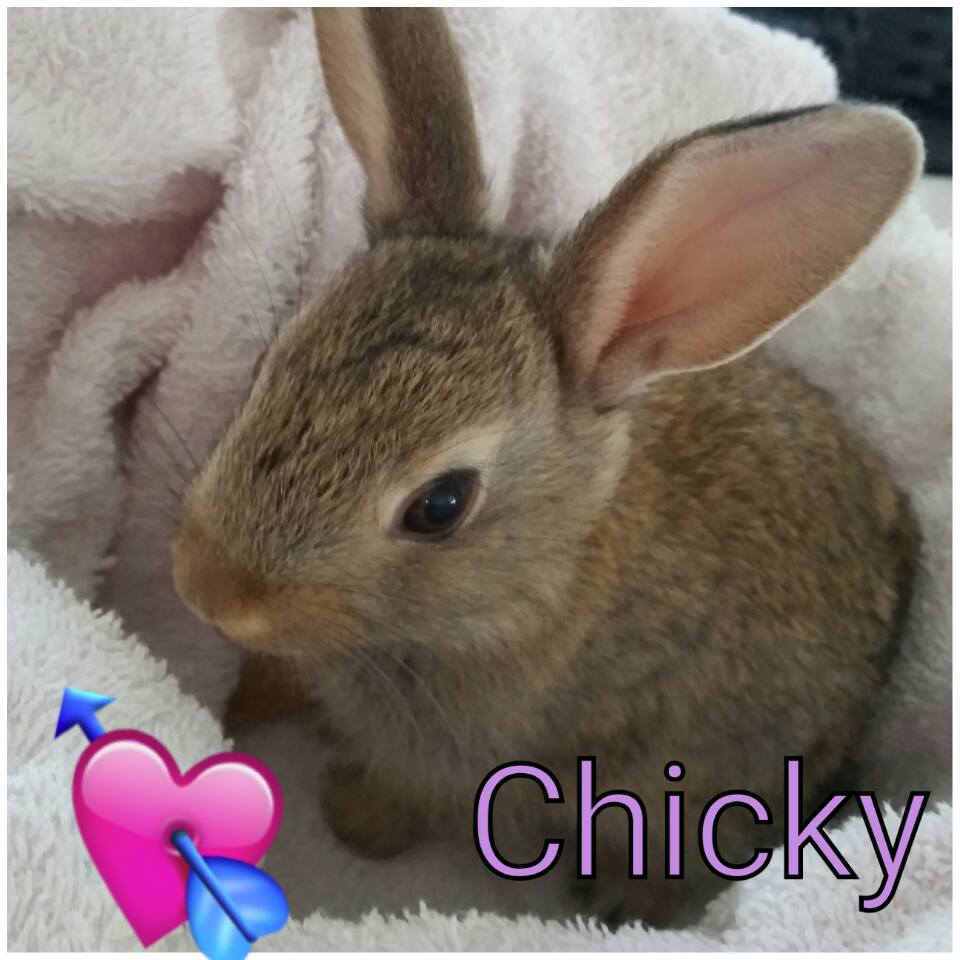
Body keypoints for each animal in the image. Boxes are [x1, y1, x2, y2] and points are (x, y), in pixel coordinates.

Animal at [171, 8, 922, 928]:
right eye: (273, 360)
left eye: (441, 505)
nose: (207, 587)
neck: (545, 576)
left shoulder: (460, 754)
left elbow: (406, 794)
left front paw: (355, 820)